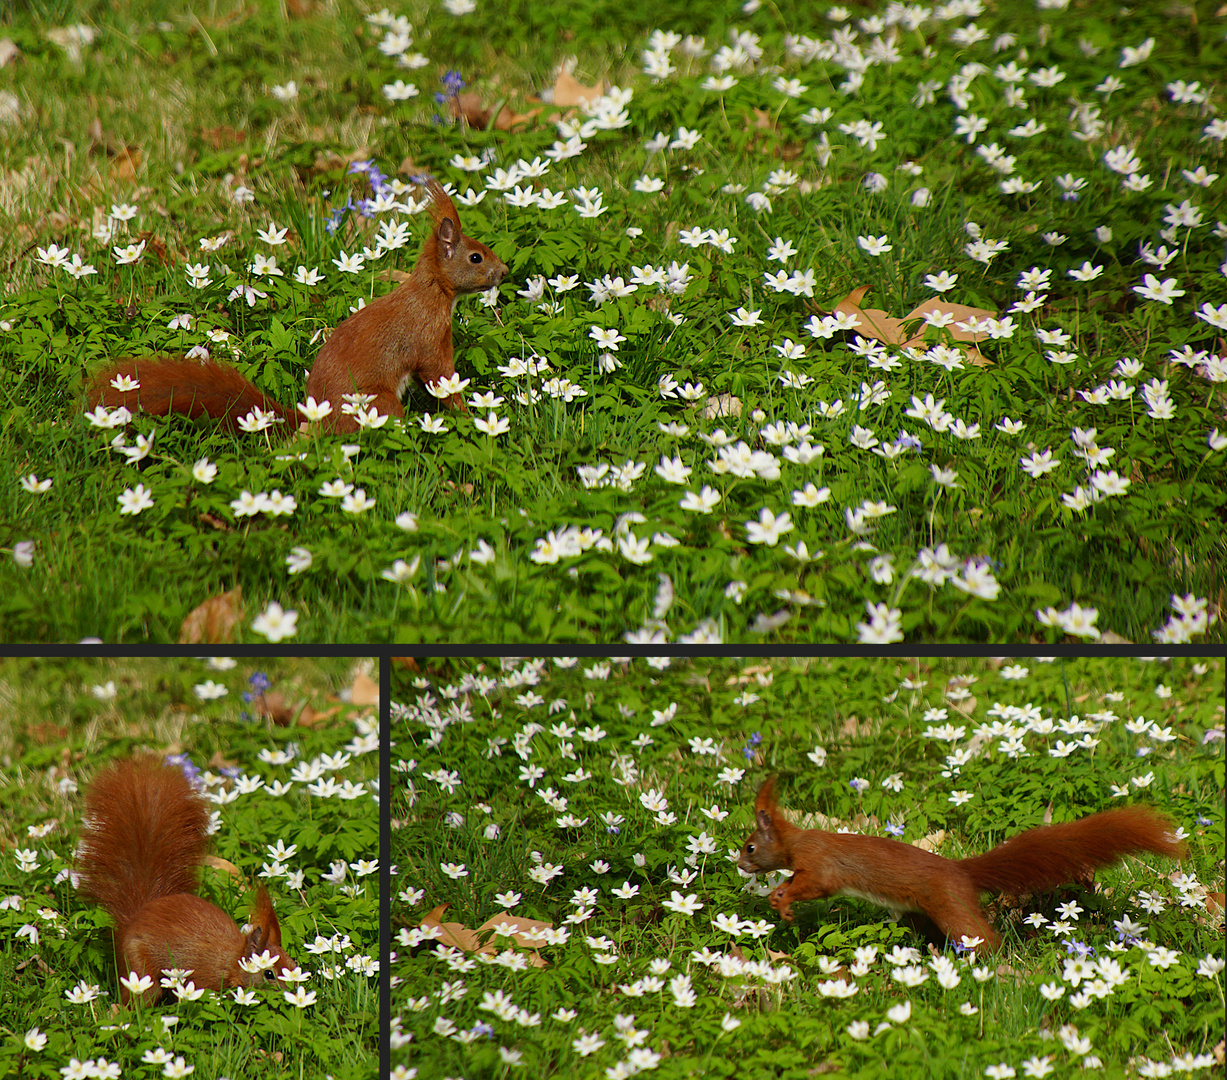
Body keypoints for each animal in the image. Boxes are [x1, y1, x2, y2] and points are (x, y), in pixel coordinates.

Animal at [77, 756, 295, 1001]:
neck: (232, 961)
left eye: (293, 963)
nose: (293, 988)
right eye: (269, 974)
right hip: (139, 966)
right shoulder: (205, 977)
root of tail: (133, 918)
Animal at [88, 176, 505, 434]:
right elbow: (441, 378)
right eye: (475, 258)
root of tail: (315, 418)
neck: (433, 292)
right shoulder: (429, 340)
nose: (504, 271)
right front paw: (466, 412)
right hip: (380, 402)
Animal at [736, 780, 1187, 947]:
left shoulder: (820, 864)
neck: (798, 840)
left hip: (949, 906)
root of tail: (959, 871)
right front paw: (778, 900)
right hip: (920, 912)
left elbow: (814, 884)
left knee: (982, 936)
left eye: (750, 847)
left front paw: (782, 901)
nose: (739, 865)